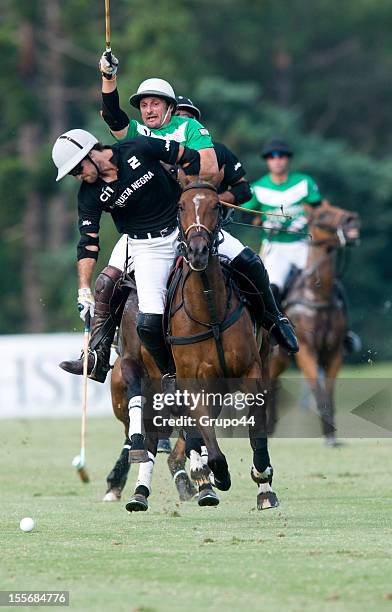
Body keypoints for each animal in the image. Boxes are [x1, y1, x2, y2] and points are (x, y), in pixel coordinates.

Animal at [268, 203, 360, 442]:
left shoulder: (333, 351)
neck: (316, 294)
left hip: (281, 357)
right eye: (323, 214)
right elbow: (317, 389)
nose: (352, 220)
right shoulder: (306, 350)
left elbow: (328, 390)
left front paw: (331, 435)